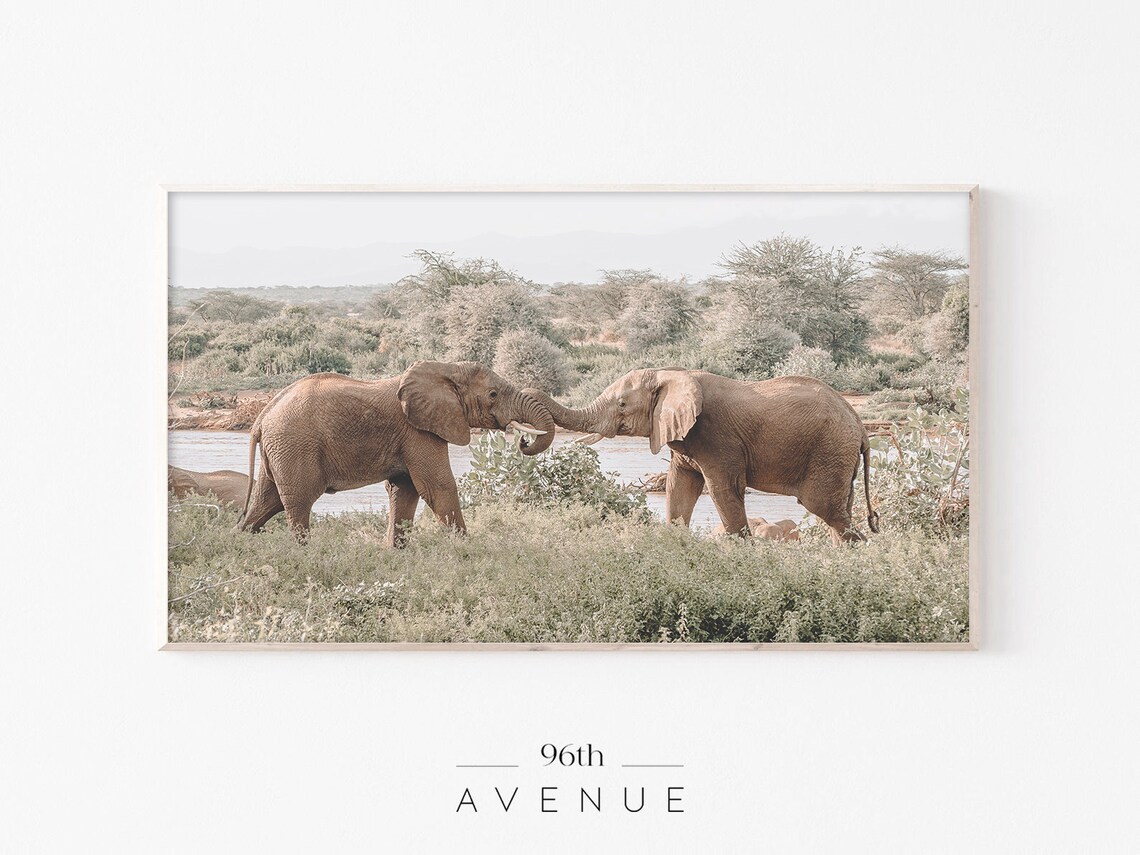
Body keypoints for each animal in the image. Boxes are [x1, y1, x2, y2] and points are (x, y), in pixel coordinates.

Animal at [239, 361, 556, 546]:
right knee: (297, 501)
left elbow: (404, 490)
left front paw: (395, 553)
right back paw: (305, 553)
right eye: (492, 395)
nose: (523, 440)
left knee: (267, 501)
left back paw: (240, 543)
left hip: (281, 449)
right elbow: (438, 487)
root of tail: (261, 417)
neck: (445, 369)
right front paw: (467, 551)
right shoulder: (418, 431)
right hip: (295, 445)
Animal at [526, 370, 879, 545]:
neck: (671, 373)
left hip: (830, 451)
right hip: (838, 456)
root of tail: (860, 427)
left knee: (827, 511)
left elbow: (722, 491)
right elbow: (678, 488)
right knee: (837, 514)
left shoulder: (716, 438)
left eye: (622, 404)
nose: (527, 390)